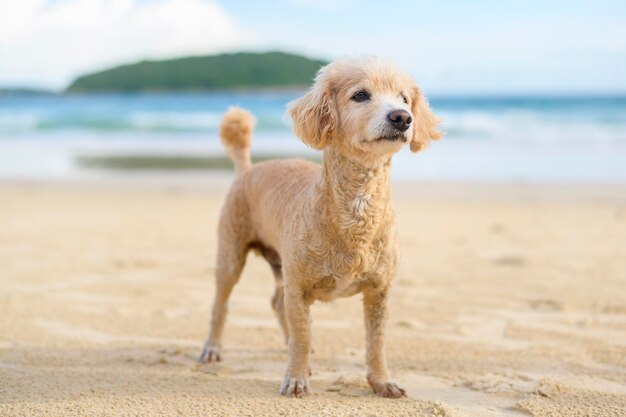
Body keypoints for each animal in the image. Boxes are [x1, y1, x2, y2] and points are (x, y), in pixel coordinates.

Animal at [199, 55, 438, 396]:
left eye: (404, 98)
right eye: (360, 95)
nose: (402, 118)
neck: (357, 211)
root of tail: (246, 169)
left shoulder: (379, 292)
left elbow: (376, 343)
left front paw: (382, 382)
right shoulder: (299, 290)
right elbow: (303, 334)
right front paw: (297, 378)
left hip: (281, 266)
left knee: (277, 303)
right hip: (231, 255)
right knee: (222, 304)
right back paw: (212, 348)